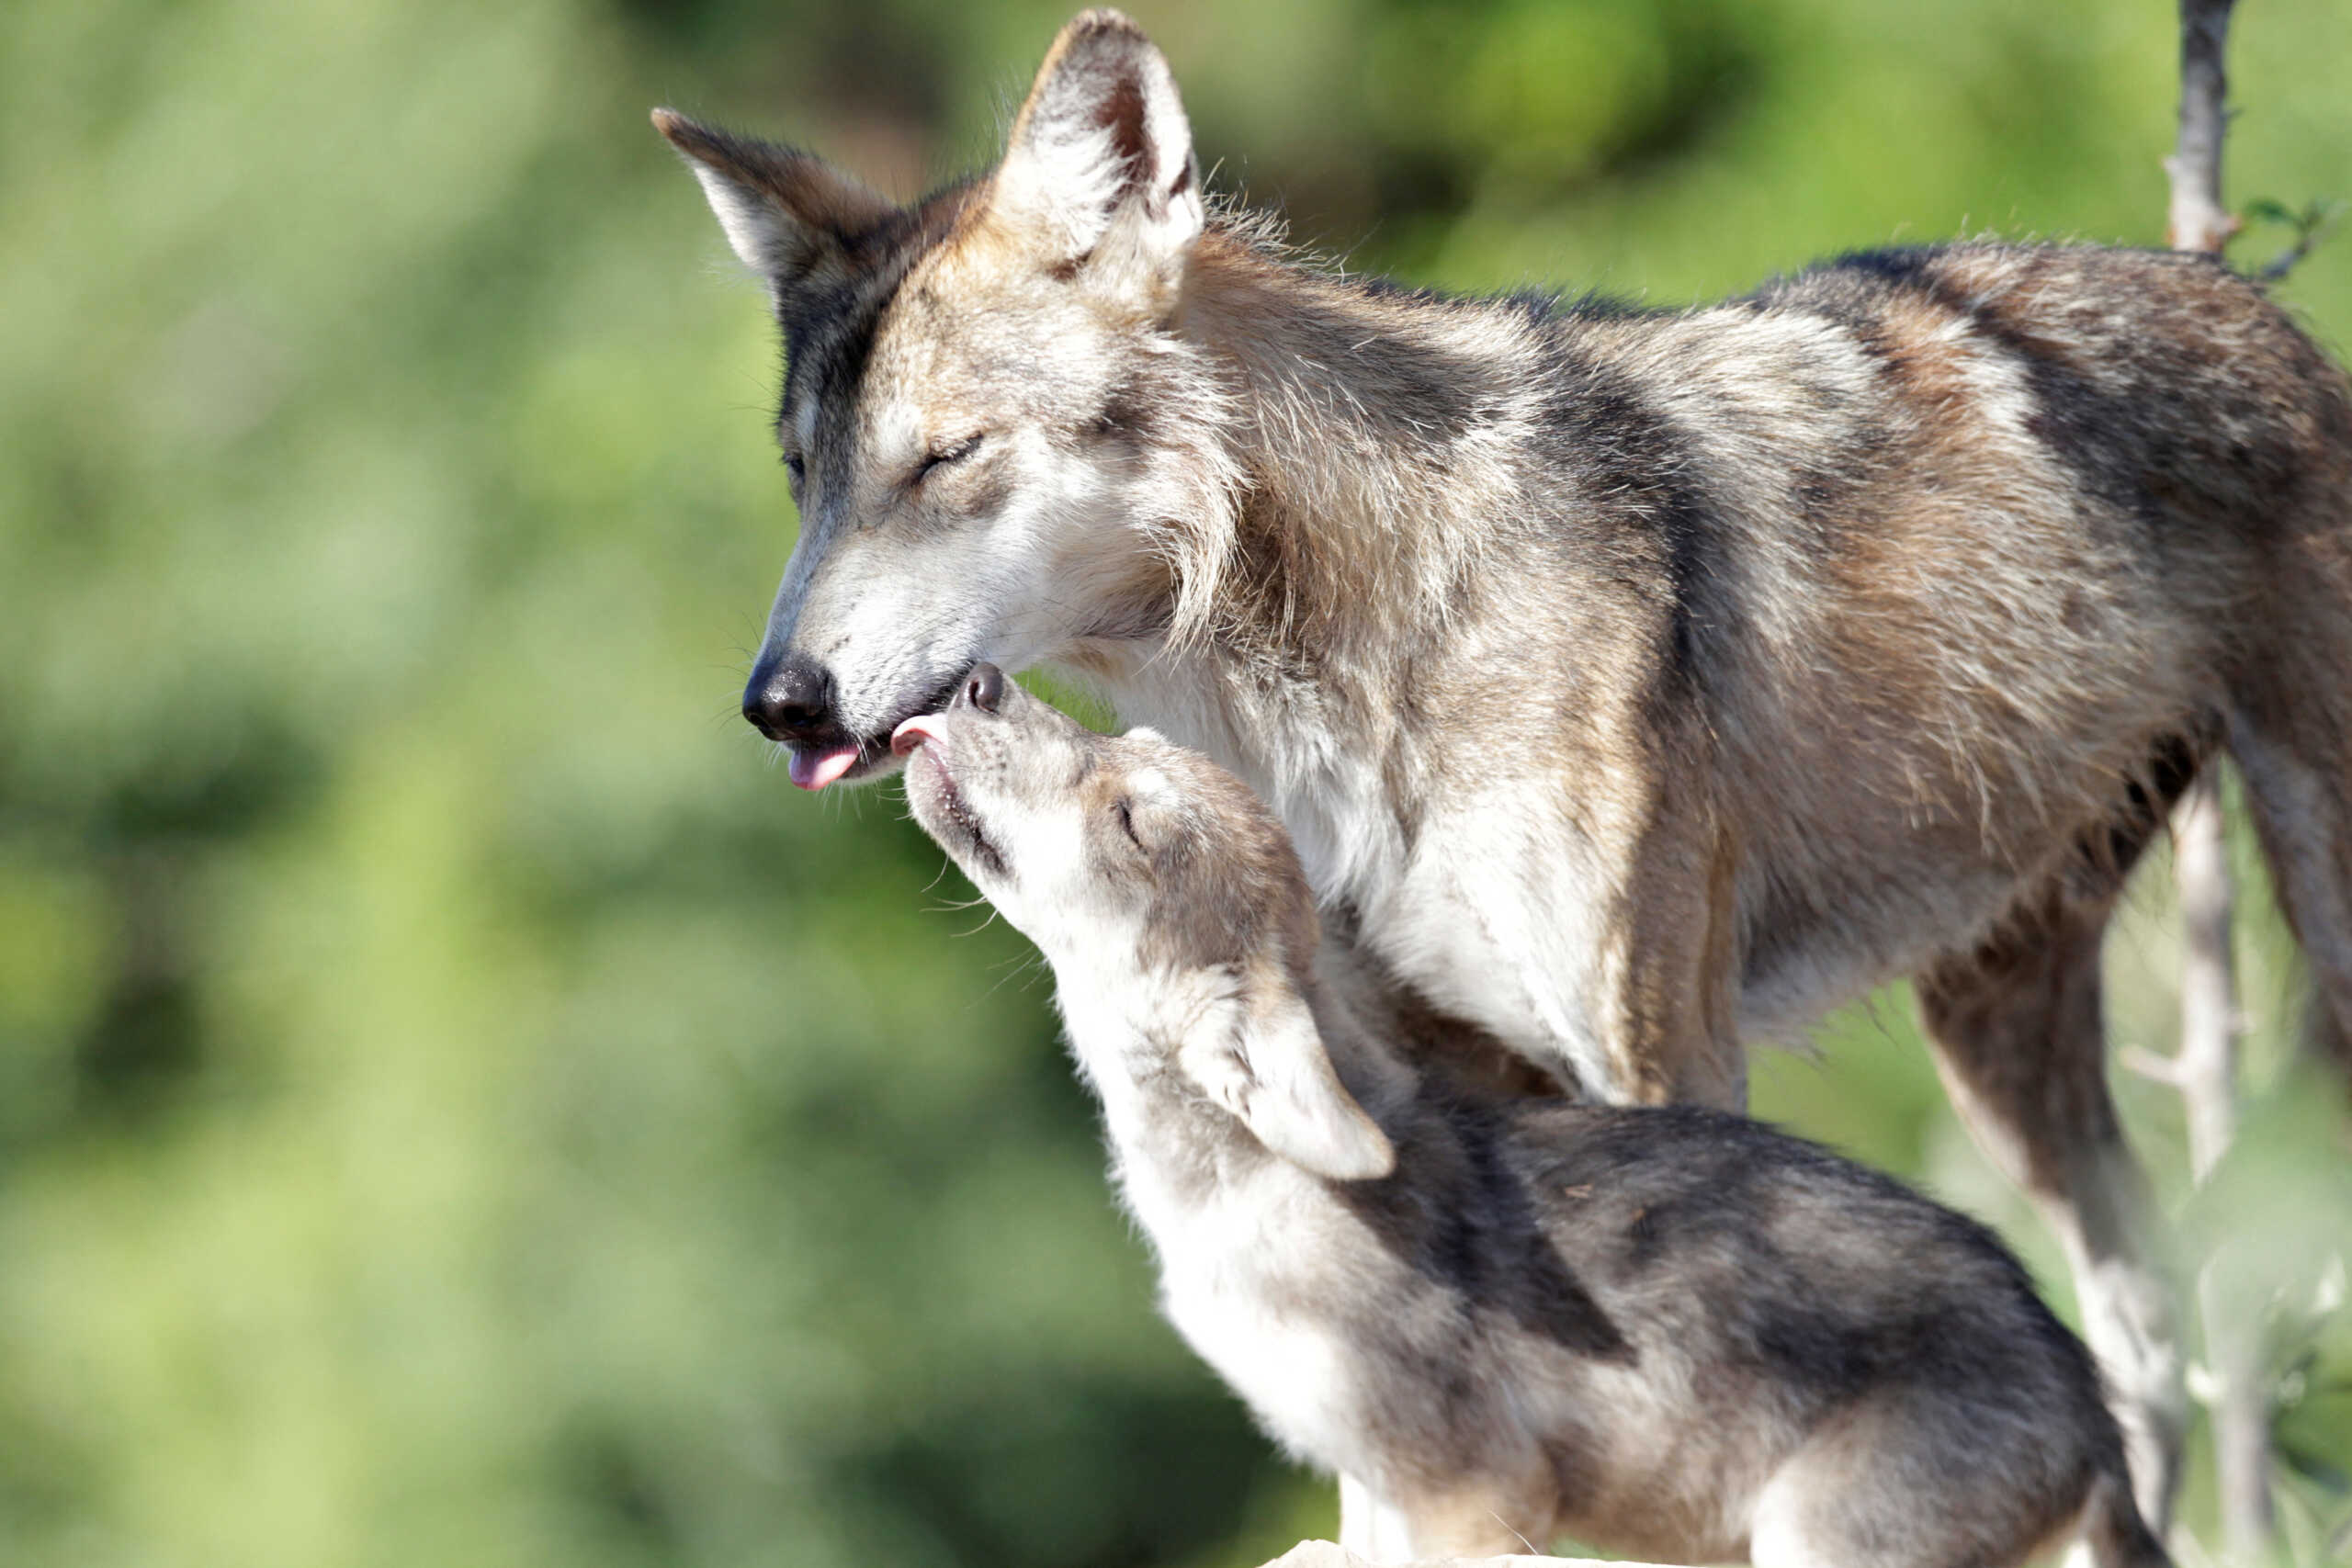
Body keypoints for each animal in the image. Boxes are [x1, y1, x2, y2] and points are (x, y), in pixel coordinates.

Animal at [653, 8, 2352, 1532]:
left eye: (945, 458)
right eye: (805, 478)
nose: (779, 702)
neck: (1341, 659)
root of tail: (2239, 291)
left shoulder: (1659, 1059)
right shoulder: (1421, 1088)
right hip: (1998, 1045)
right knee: (2143, 1344)